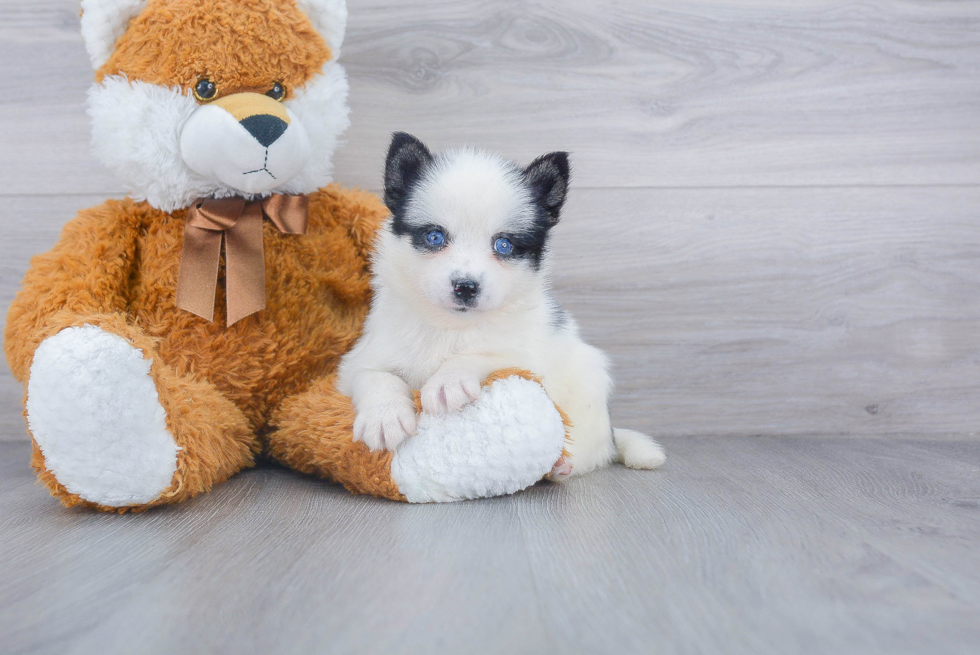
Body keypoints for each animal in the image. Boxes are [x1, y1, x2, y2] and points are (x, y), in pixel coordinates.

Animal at [336, 135, 668, 476]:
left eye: (504, 244)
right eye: (434, 236)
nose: (466, 287)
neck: (451, 325)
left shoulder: (528, 358)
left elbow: (484, 354)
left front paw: (448, 380)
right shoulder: (358, 361)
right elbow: (375, 376)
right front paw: (384, 416)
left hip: (590, 381)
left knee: (596, 447)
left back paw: (564, 464)